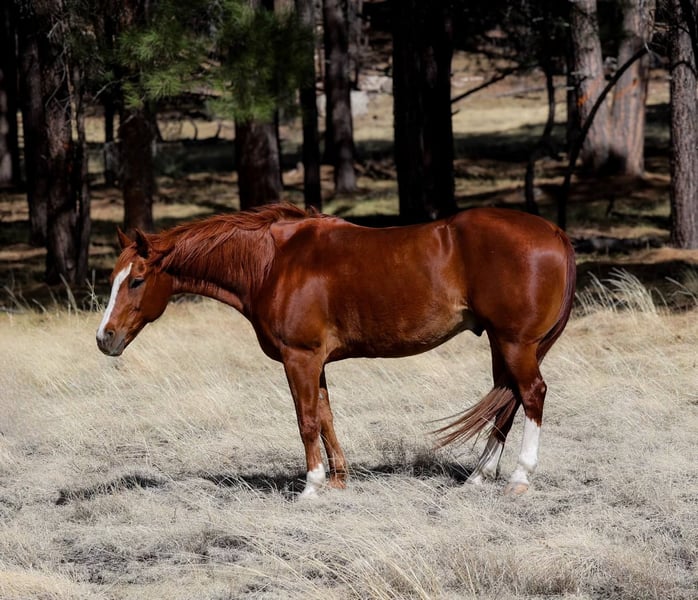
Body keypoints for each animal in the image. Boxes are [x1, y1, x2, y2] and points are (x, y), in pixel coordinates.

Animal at [97, 203, 576, 498]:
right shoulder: (316, 362)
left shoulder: (300, 357)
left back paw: (519, 478)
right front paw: (339, 480)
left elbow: (306, 420)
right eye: (113, 278)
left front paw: (311, 486)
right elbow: (325, 416)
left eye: (136, 280)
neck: (273, 263)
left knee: (531, 395)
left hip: (515, 343)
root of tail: (554, 231)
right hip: (502, 343)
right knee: (506, 401)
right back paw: (477, 477)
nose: (105, 338)